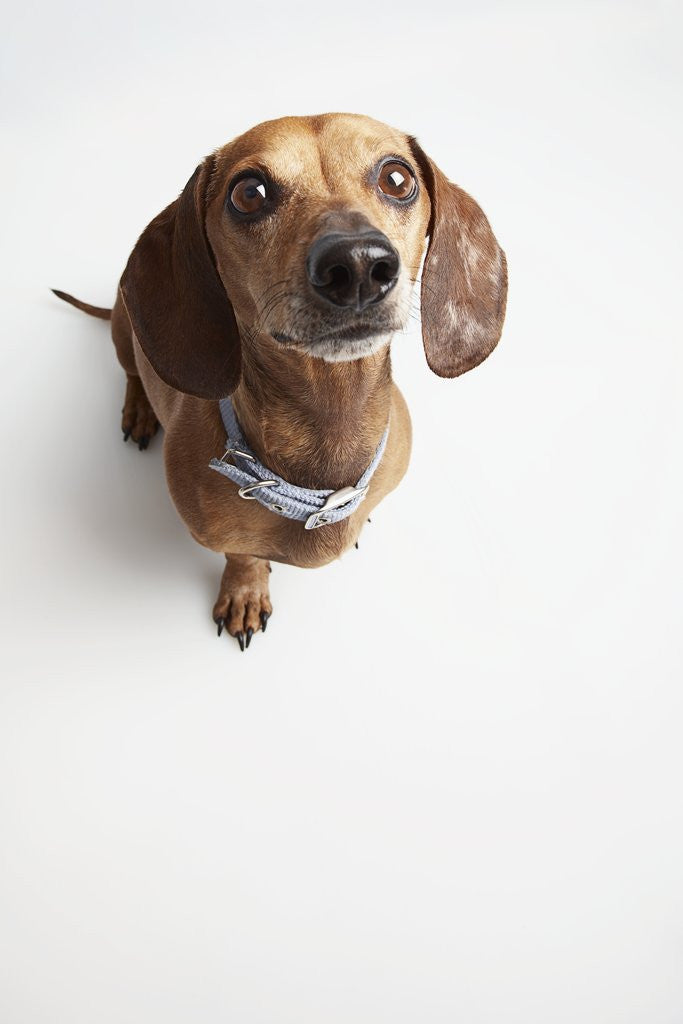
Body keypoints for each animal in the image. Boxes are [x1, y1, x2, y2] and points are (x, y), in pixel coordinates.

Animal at [53, 113, 507, 650]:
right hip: (125, 336)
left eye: (397, 178)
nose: (357, 264)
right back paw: (140, 411)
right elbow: (243, 555)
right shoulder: (221, 536)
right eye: (249, 193)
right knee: (130, 375)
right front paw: (246, 591)